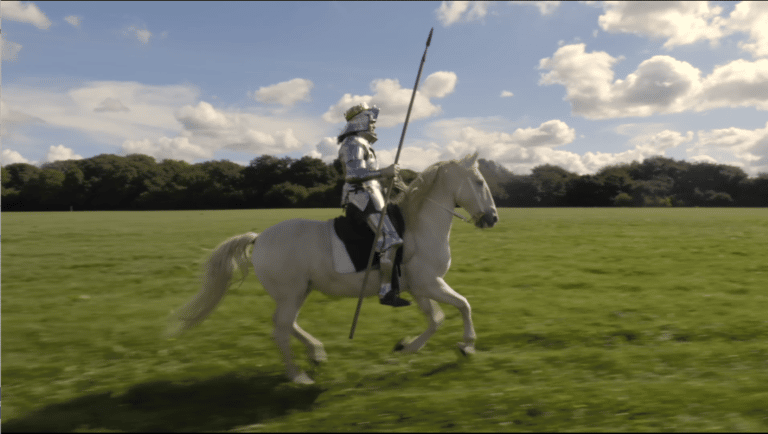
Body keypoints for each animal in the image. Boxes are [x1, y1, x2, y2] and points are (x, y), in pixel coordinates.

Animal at [164, 152, 498, 384]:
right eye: (480, 182)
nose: (493, 218)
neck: (419, 226)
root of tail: (259, 239)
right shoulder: (431, 284)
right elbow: (463, 306)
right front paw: (467, 346)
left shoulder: (418, 288)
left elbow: (436, 319)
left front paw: (407, 346)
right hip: (292, 293)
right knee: (281, 330)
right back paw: (298, 375)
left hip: (299, 291)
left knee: (287, 323)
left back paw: (316, 354)